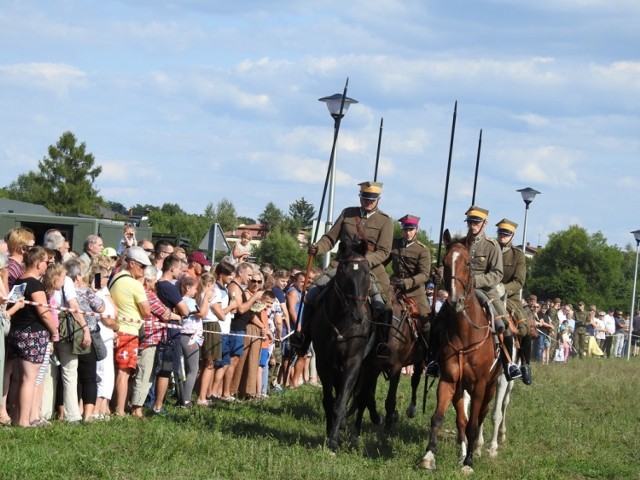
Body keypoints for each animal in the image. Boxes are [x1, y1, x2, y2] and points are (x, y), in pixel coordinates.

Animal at [304, 238, 376, 452]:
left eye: (366, 272)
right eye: (344, 273)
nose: (359, 316)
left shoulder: (353, 363)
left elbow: (341, 400)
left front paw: (334, 440)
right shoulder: (324, 362)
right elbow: (329, 400)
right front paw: (330, 433)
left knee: (360, 397)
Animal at [418, 231, 502, 474]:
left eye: (467, 263)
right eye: (445, 263)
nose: (454, 301)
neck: (466, 335)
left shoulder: (481, 385)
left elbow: (474, 424)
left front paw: (469, 463)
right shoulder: (448, 379)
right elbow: (438, 417)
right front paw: (428, 456)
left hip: (491, 387)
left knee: (481, 417)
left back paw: (478, 450)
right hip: (460, 388)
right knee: (461, 420)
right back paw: (463, 451)